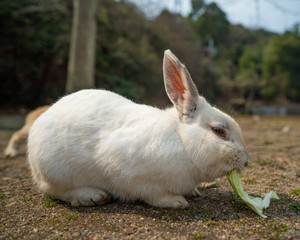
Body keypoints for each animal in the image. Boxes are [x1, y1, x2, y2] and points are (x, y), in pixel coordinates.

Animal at [28, 49, 248, 207]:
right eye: (219, 131)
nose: (246, 162)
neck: (182, 141)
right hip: (56, 171)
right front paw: (176, 201)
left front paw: (193, 192)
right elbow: (152, 194)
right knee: (54, 191)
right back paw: (92, 196)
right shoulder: (130, 174)